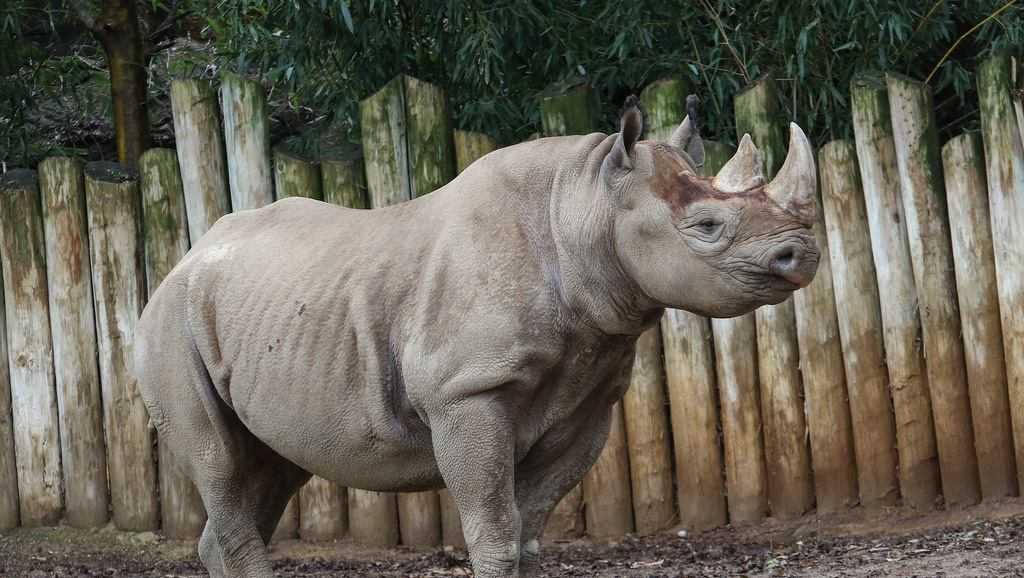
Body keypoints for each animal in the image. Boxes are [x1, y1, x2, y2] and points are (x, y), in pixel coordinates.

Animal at [135, 96, 819, 578]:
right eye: (706, 226)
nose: (803, 253)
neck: (580, 209)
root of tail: (180, 260)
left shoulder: (589, 401)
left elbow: (530, 532)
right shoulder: (466, 393)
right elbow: (493, 531)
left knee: (271, 467)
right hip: (170, 323)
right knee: (219, 463)